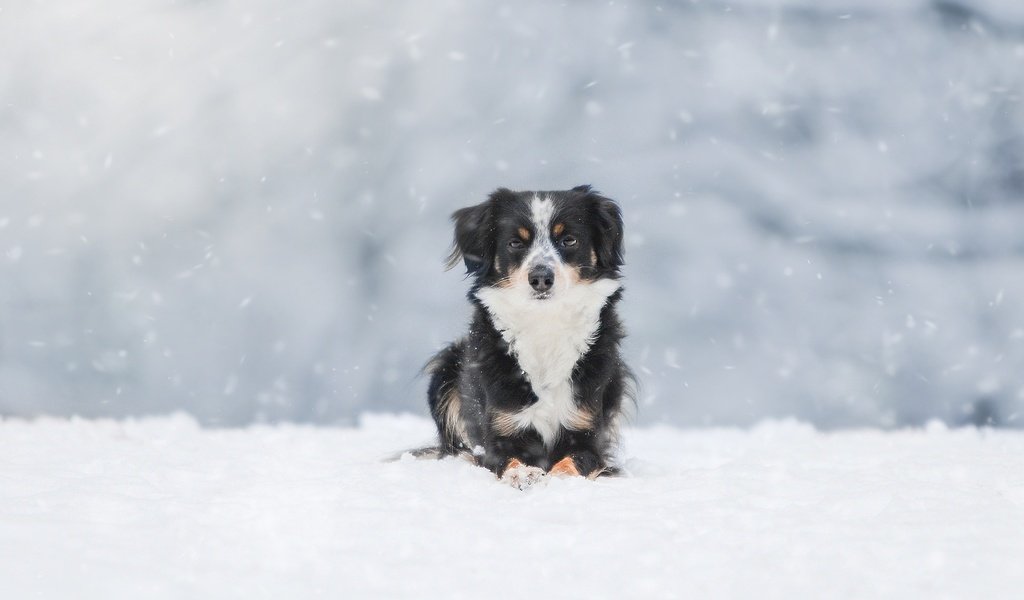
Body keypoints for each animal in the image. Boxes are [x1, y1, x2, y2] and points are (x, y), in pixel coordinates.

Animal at [419, 183, 626, 485]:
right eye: (515, 243)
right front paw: (524, 474)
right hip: (447, 367)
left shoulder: (586, 430)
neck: (544, 322)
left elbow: (574, 461)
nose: (540, 278)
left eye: (569, 240)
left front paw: (557, 477)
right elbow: (508, 459)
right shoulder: (499, 432)